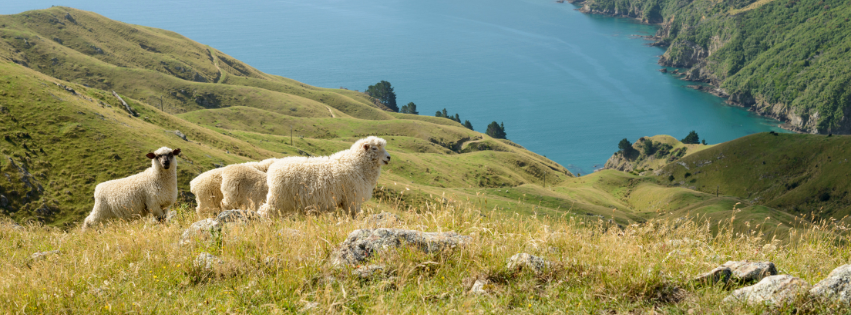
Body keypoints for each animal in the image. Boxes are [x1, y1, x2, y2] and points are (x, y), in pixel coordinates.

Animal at [260, 137, 392, 218]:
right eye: (374, 148)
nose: (389, 157)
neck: (357, 163)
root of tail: (273, 168)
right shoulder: (351, 199)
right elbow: (354, 215)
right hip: (279, 198)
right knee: (265, 211)